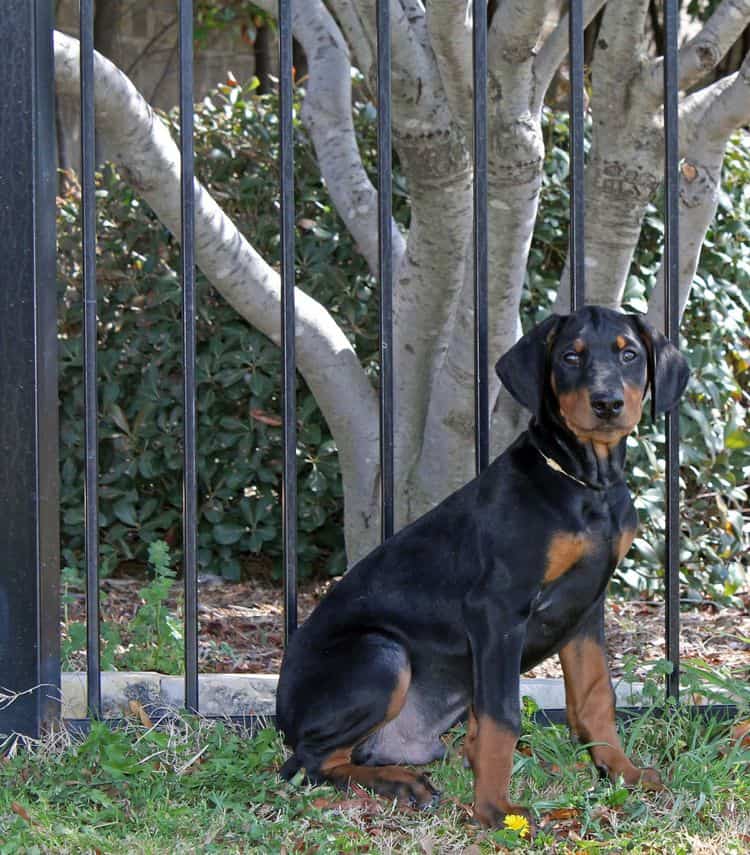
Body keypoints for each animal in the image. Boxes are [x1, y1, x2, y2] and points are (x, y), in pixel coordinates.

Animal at [274, 304, 688, 824]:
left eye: (629, 353)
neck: (585, 485)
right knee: (305, 761)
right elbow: (502, 716)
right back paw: (400, 783)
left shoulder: (587, 607)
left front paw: (621, 773)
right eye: (570, 357)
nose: (607, 403)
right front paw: (494, 810)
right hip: (381, 655)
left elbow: (596, 697)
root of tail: (280, 713)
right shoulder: (498, 608)